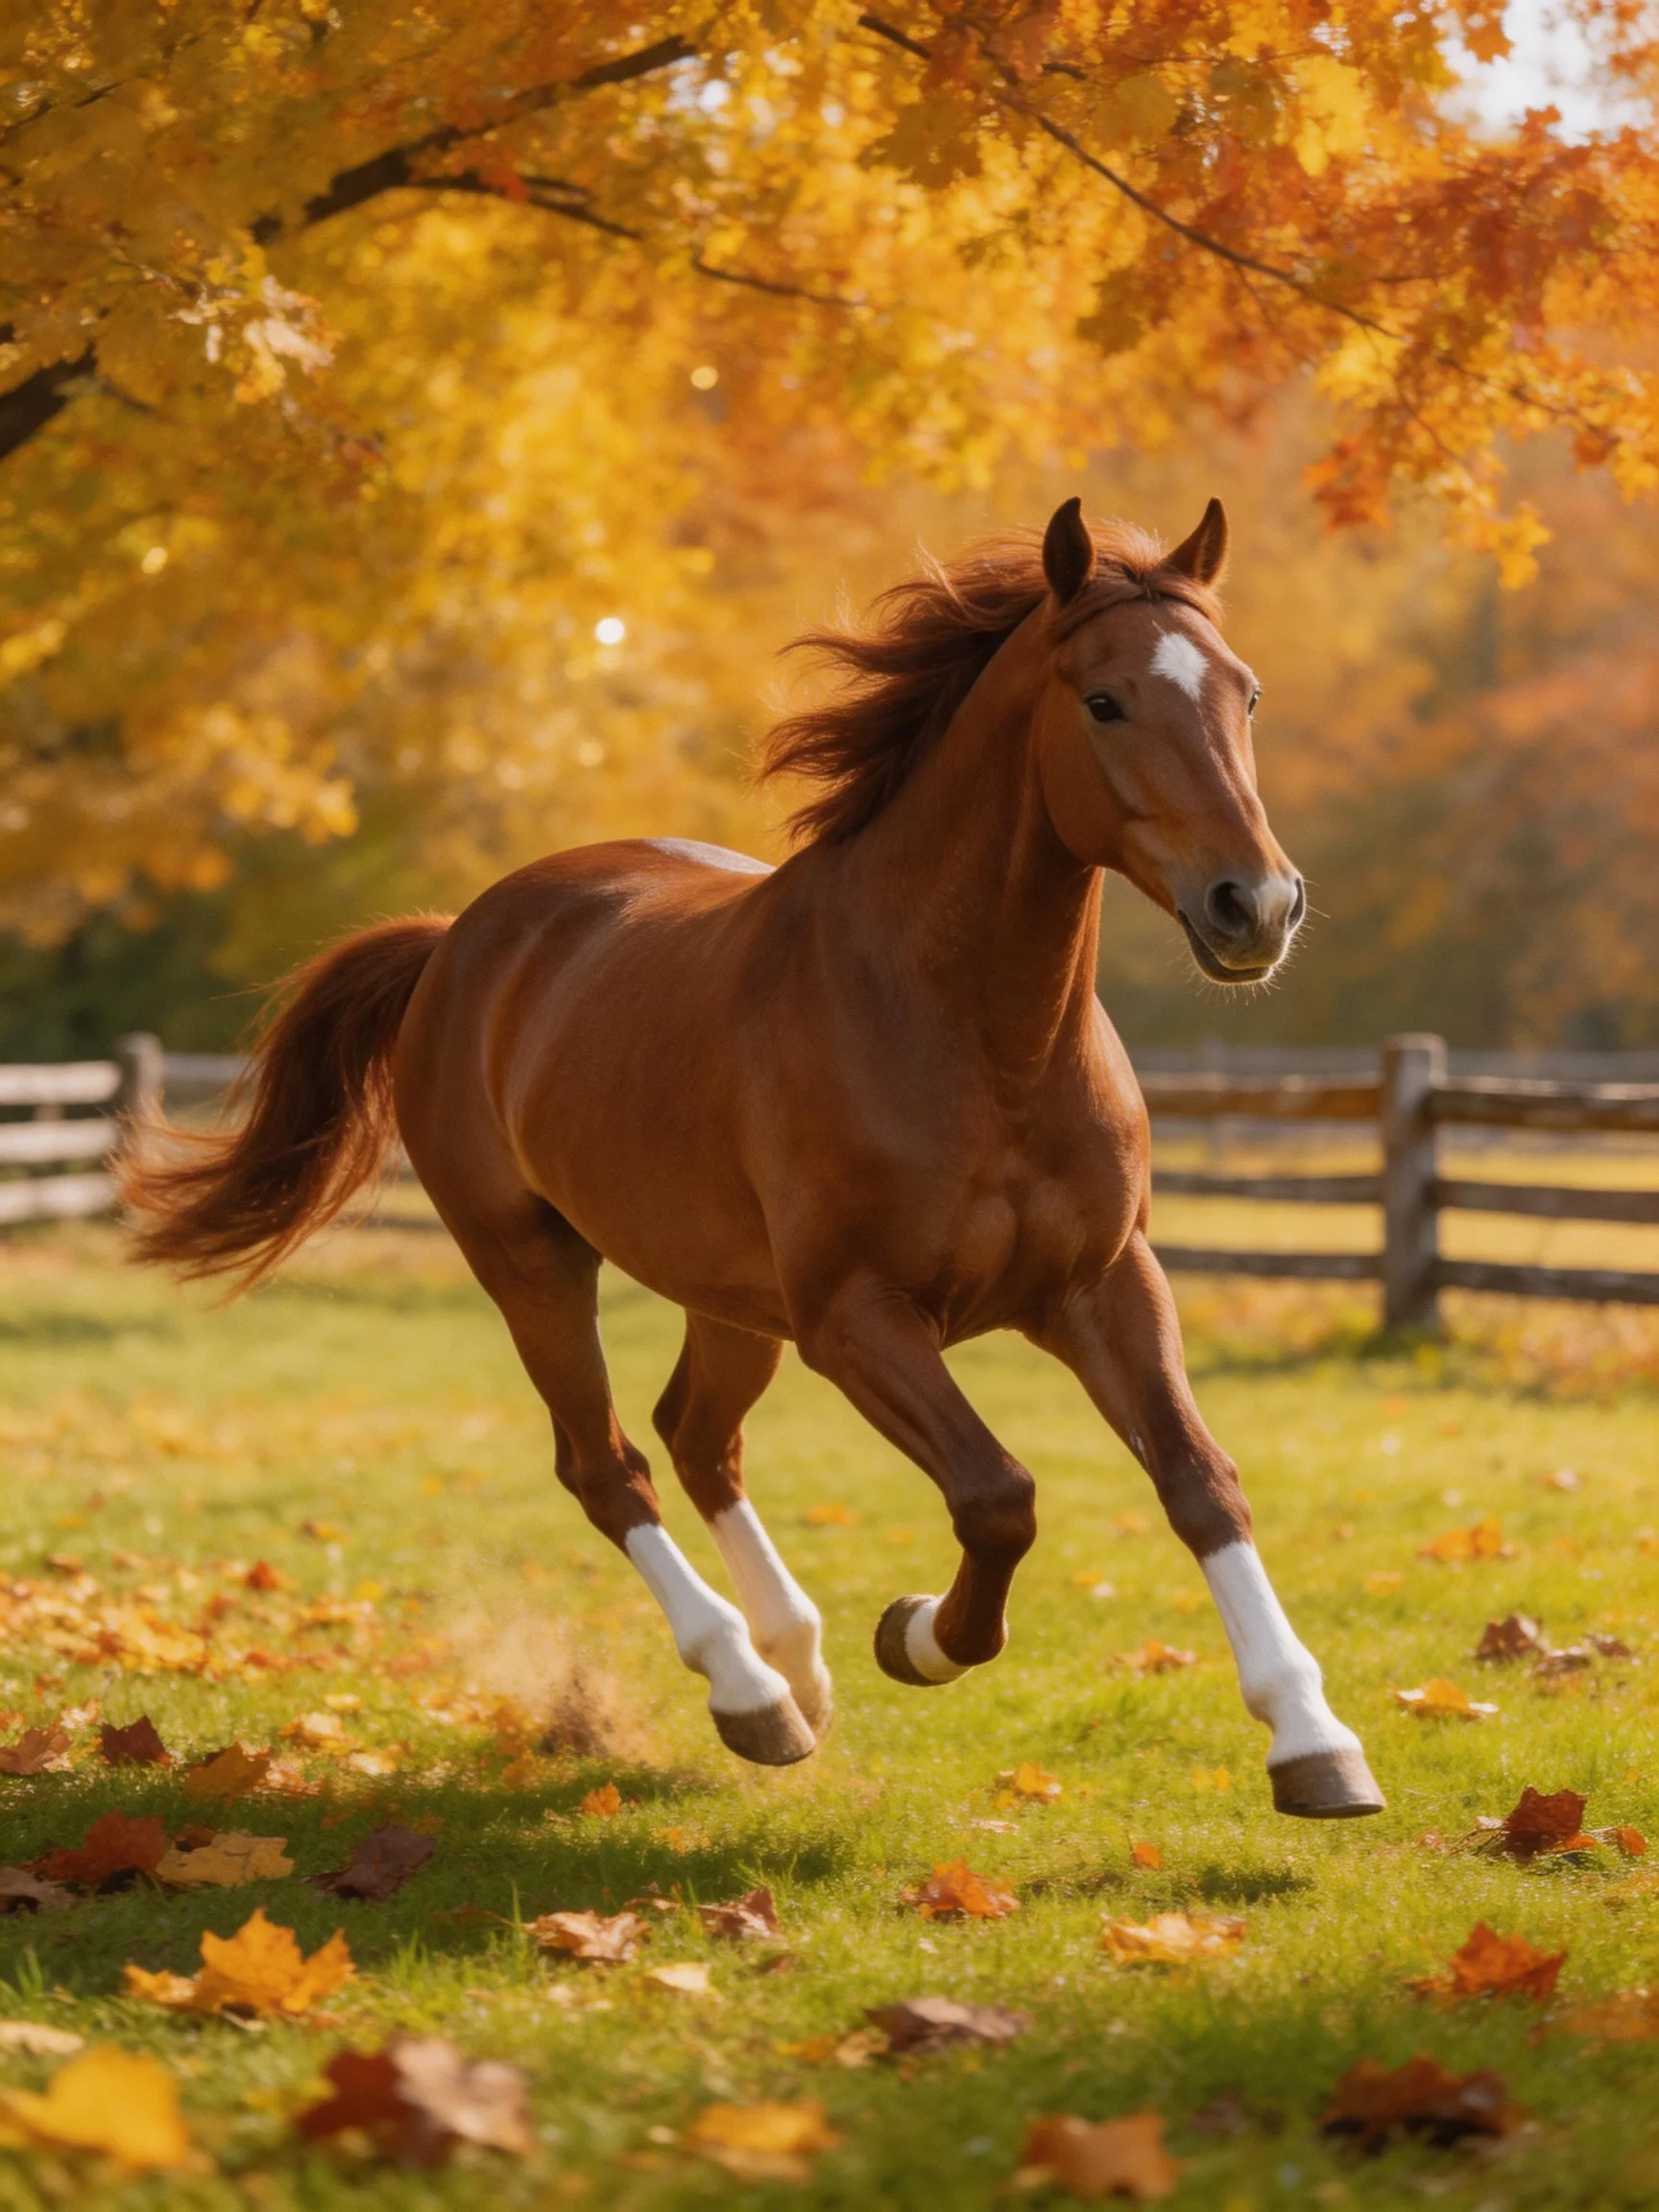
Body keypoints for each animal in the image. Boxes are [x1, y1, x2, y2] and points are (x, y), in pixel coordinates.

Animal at [126, 497, 1383, 1819]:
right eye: (1104, 701)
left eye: (1246, 694)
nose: (1257, 906)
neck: (976, 1036)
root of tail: (456, 940)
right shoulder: (856, 1318)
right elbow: (998, 1497)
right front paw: (916, 1633)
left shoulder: (1104, 1284)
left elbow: (1199, 1479)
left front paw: (1314, 1741)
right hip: (532, 1265)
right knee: (609, 1463)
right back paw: (753, 1692)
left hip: (729, 1297)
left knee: (695, 1435)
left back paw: (798, 1664)